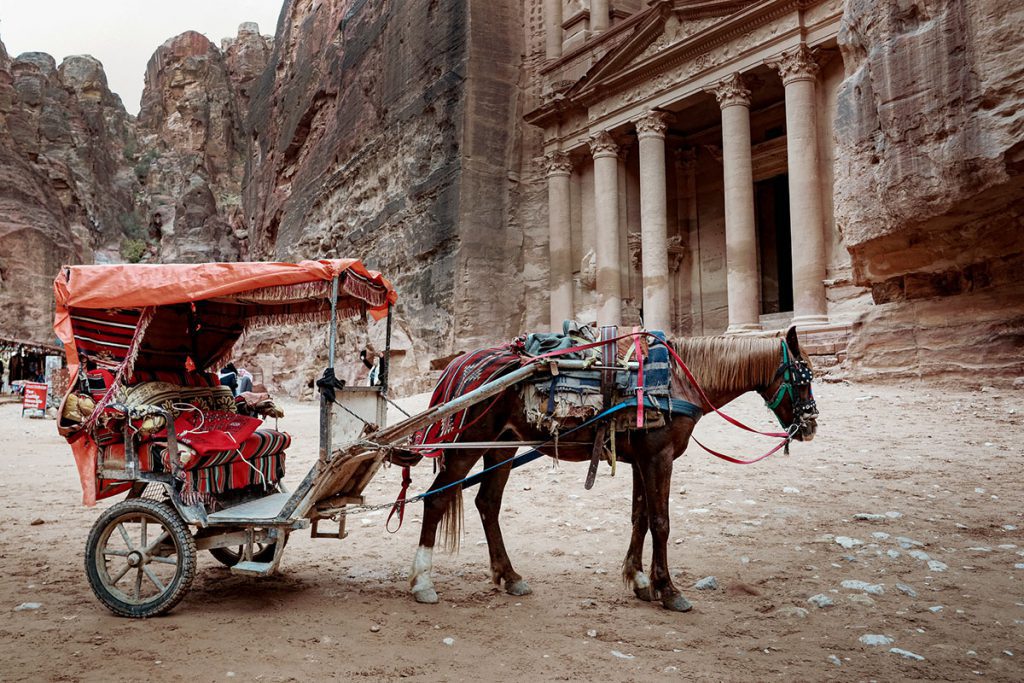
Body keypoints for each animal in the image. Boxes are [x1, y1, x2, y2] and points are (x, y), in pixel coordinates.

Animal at [407, 327, 815, 610]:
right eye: (804, 375)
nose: (810, 426)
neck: (676, 380)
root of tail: (461, 363)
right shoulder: (659, 456)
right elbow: (661, 522)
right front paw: (669, 590)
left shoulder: (643, 458)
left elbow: (640, 517)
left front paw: (639, 581)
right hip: (468, 445)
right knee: (435, 500)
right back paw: (422, 581)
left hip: (500, 448)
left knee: (487, 504)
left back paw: (509, 576)